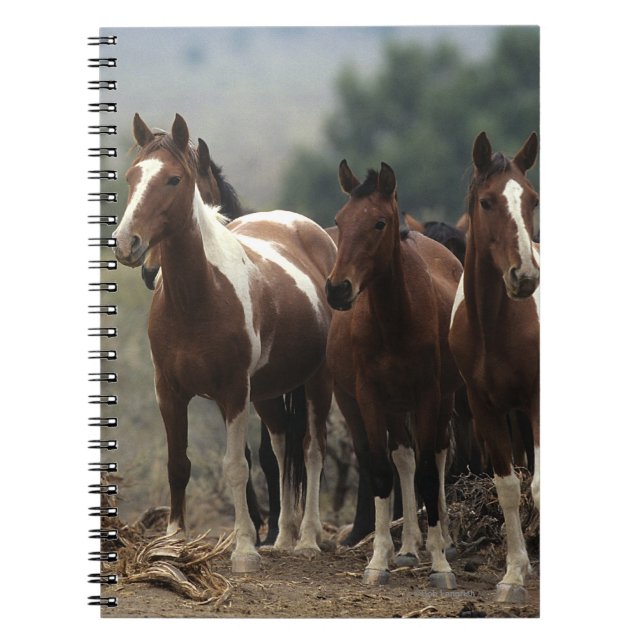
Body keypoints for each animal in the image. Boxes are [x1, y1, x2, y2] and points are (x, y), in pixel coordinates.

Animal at [112, 113, 336, 572]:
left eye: (174, 179)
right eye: (131, 176)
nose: (127, 244)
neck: (199, 296)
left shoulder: (232, 392)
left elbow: (236, 466)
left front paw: (245, 549)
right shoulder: (169, 391)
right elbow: (178, 464)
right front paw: (173, 543)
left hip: (317, 381)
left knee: (312, 450)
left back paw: (307, 539)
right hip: (268, 392)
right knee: (282, 446)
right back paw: (283, 536)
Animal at [326, 160, 463, 587]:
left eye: (379, 222)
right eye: (340, 219)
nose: (338, 289)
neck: (395, 320)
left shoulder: (428, 394)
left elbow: (429, 473)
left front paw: (441, 564)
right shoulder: (369, 397)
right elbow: (384, 471)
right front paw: (378, 561)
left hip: (441, 399)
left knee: (437, 454)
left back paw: (443, 540)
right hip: (381, 404)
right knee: (403, 457)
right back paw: (407, 548)